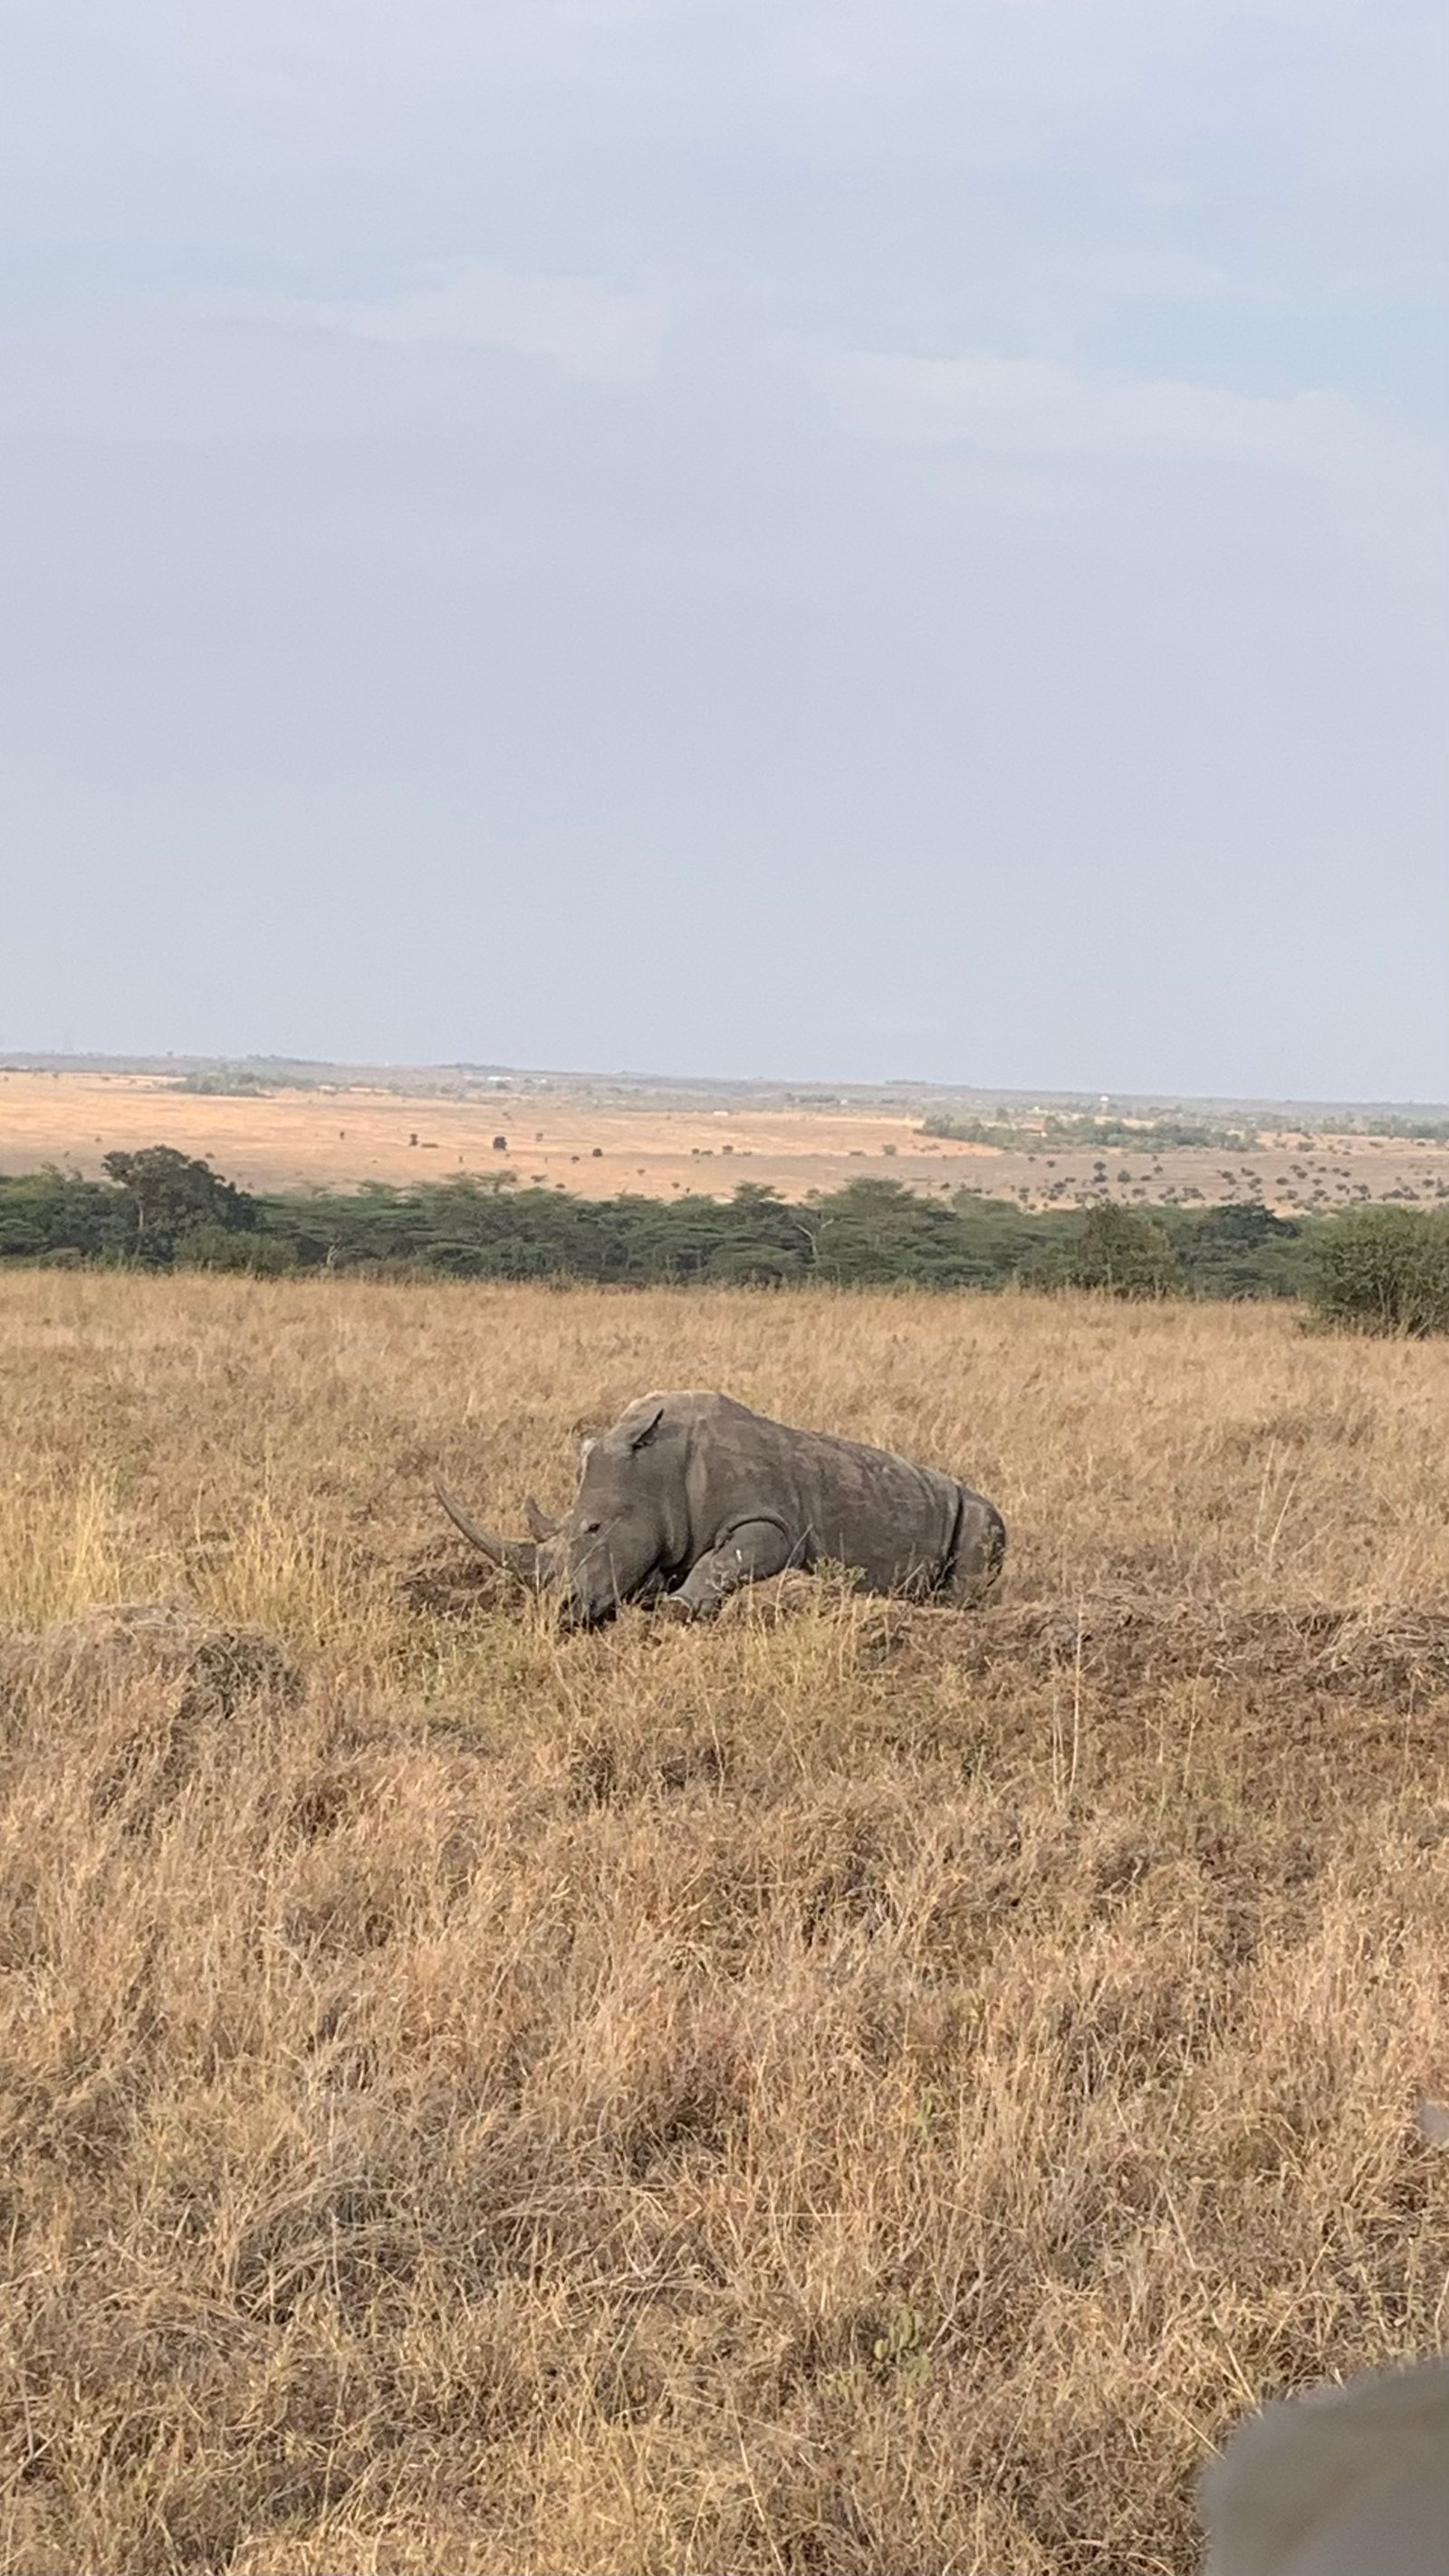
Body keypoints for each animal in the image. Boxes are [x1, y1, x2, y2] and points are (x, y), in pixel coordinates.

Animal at [435, 1389, 1005, 1627]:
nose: (557, 1613)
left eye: (593, 1528)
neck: (654, 1468)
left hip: (978, 1510)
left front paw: (677, 1610)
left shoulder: (771, 1521)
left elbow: (727, 1558)